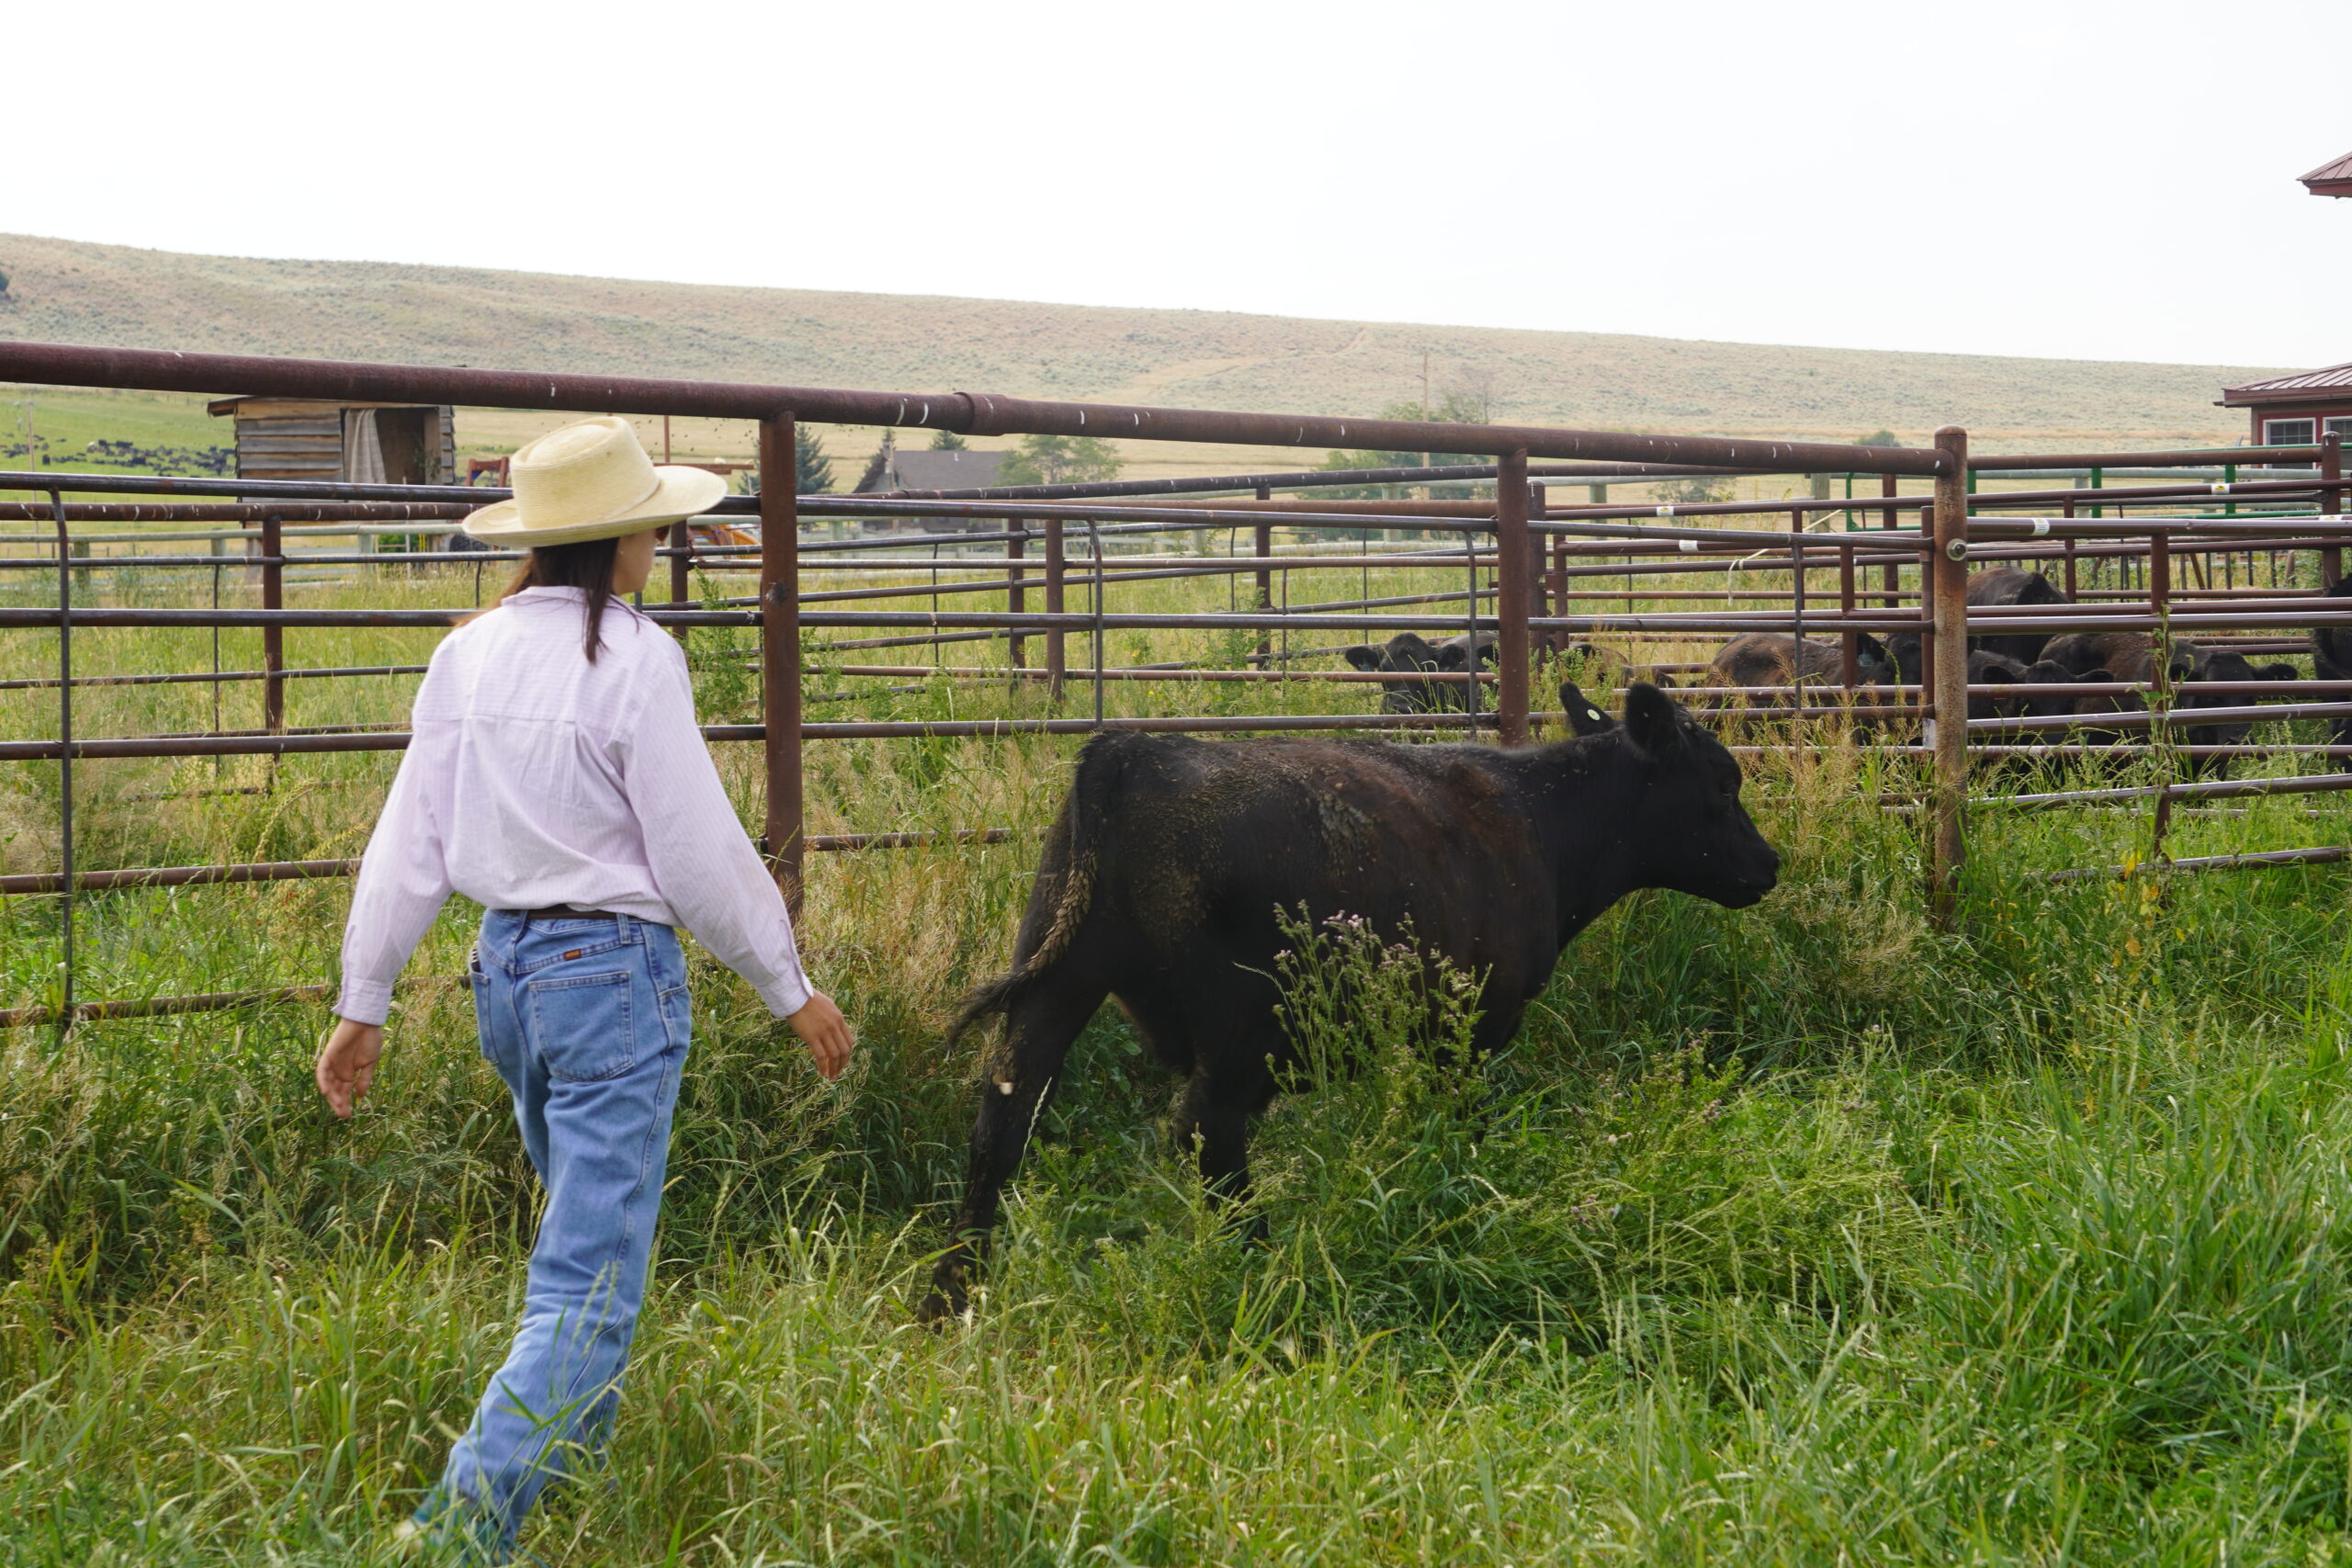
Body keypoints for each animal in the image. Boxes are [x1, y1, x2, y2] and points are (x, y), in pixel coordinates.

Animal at [922, 682, 1778, 1316]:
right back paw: (1263, 1266)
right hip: (1243, 1026)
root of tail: (1131, 750)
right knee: (1206, 1133)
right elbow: (1460, 1123)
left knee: (1002, 1123)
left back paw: (951, 1296)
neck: (1539, 819)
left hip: (1057, 982)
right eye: (1724, 782)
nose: (1769, 863)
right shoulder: (1470, 1026)